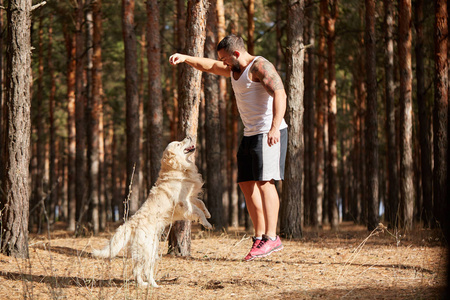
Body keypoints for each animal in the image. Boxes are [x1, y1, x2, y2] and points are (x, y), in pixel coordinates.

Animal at [92, 137, 212, 288]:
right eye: (179, 144)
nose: (189, 137)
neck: (177, 169)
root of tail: (131, 223)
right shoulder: (183, 203)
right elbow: (197, 210)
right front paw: (206, 223)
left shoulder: (190, 197)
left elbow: (201, 203)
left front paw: (208, 214)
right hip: (149, 248)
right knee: (144, 269)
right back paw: (153, 285)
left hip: (148, 248)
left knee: (136, 269)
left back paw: (143, 284)